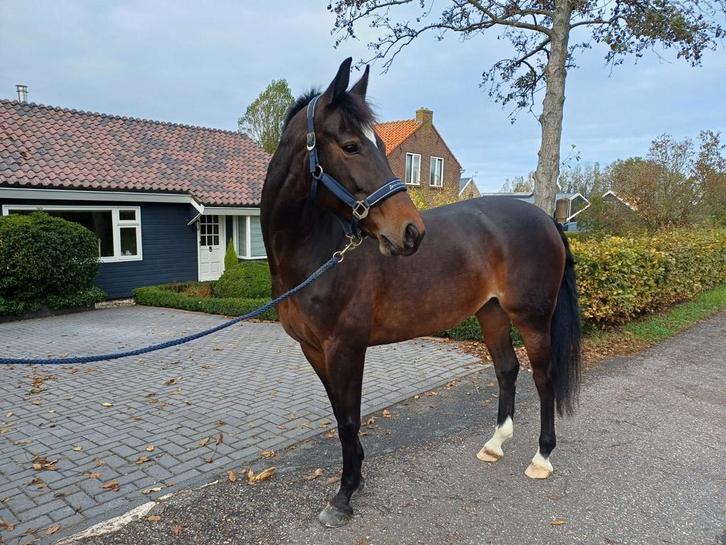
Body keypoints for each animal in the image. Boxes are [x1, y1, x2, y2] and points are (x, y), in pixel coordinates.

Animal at [260, 58, 582, 528]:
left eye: (377, 144)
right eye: (352, 145)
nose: (411, 231)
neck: (319, 252)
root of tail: (546, 219)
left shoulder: (346, 347)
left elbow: (350, 419)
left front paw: (343, 496)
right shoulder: (314, 350)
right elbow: (340, 414)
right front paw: (356, 477)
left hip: (533, 319)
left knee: (544, 377)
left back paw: (541, 457)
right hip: (491, 312)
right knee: (507, 369)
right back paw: (494, 445)